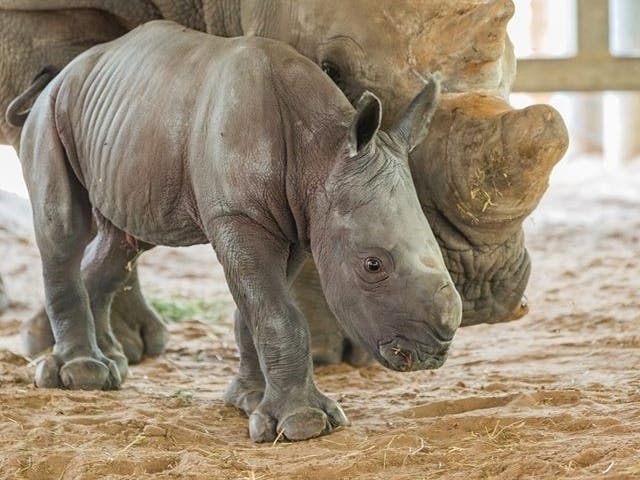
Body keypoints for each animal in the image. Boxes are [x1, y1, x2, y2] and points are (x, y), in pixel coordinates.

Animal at [20, 22, 460, 442]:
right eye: (373, 265)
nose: (438, 345)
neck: (320, 151)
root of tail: (62, 75)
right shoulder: (238, 215)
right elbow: (278, 313)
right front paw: (303, 424)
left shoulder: (297, 223)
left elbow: (256, 310)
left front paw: (249, 400)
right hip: (51, 115)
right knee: (65, 229)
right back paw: (81, 374)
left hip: (127, 132)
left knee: (122, 245)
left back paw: (111, 364)